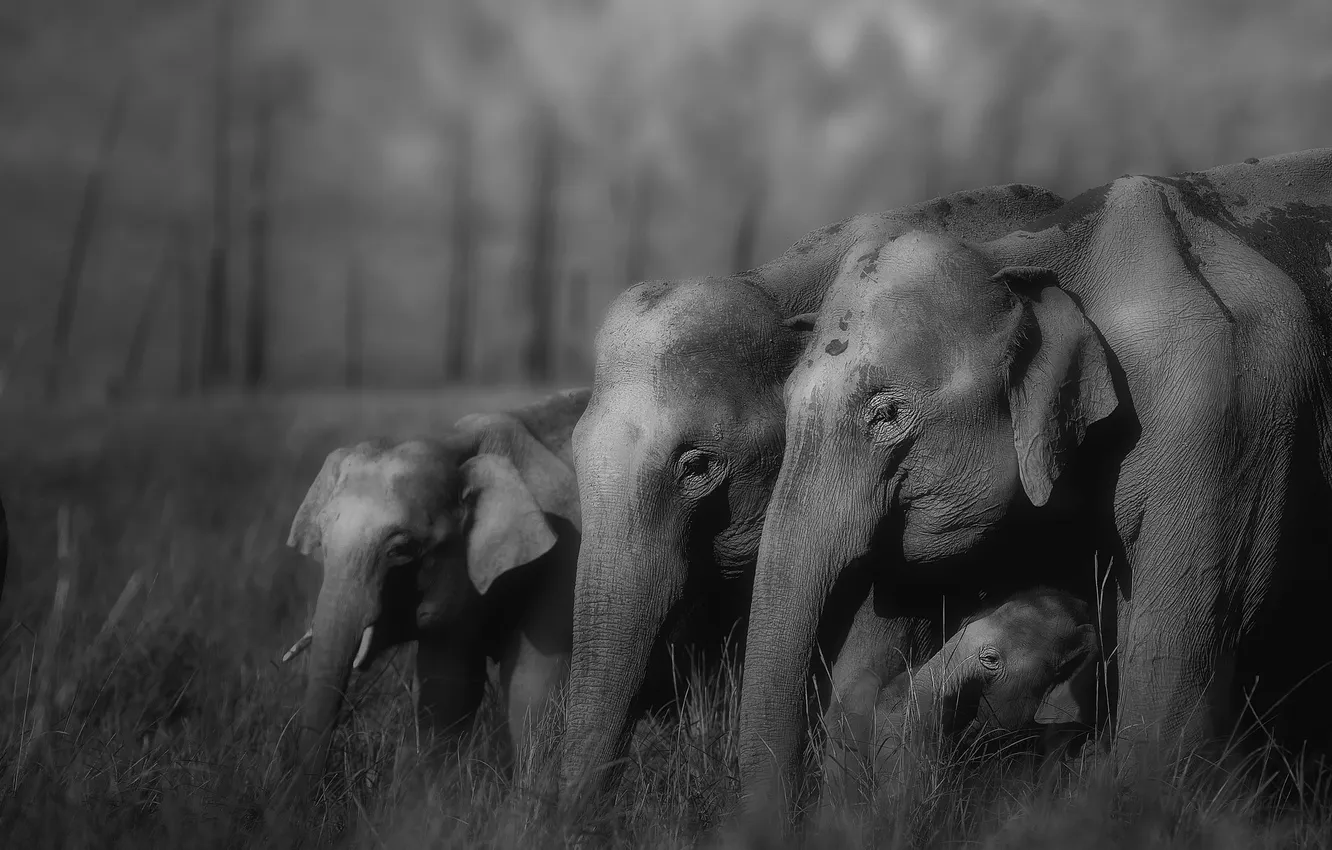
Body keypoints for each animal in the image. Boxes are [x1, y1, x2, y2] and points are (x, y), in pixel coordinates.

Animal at [282, 387, 587, 781]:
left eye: (400, 549)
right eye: (321, 542)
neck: (457, 446)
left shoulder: (567, 562)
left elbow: (532, 692)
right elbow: (445, 694)